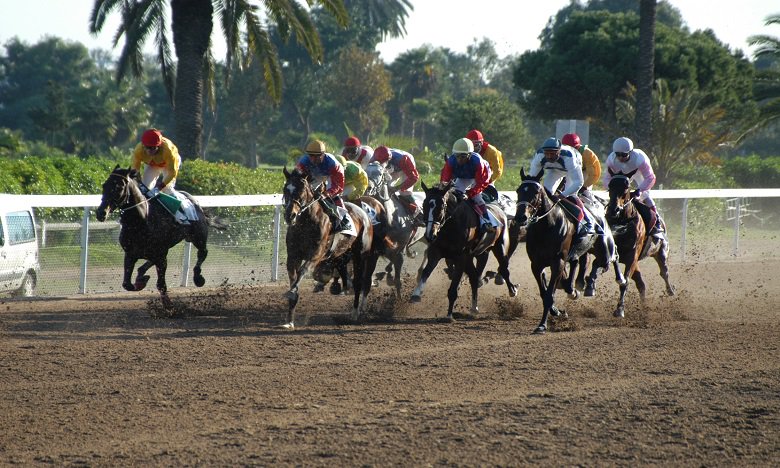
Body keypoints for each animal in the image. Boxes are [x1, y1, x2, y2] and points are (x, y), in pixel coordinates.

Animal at [96, 166, 222, 308]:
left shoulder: (161, 256)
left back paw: (198, 278)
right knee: (148, 263)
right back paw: (141, 274)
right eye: (104, 185)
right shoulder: (130, 254)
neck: (142, 220)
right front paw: (141, 282)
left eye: (119, 187)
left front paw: (168, 306)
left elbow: (161, 284)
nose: (101, 213)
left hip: (198, 237)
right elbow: (126, 284)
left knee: (203, 252)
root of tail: (194, 202)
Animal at [284, 166, 374, 328]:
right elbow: (293, 278)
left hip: (360, 254)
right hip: (340, 255)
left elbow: (303, 271)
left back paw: (355, 313)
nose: (290, 215)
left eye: (301, 191)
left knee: (359, 282)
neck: (305, 224)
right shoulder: (293, 256)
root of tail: (364, 214)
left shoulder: (316, 254)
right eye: (285, 189)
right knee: (344, 274)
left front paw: (292, 292)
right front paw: (289, 320)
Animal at [408, 181, 516, 320]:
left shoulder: (460, 257)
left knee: (503, 268)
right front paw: (416, 295)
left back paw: (512, 290)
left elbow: (454, 286)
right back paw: (474, 307)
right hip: (472, 256)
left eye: (441, 207)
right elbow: (425, 273)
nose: (429, 235)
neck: (450, 226)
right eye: (424, 205)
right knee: (474, 277)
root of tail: (500, 210)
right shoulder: (436, 252)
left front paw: (449, 315)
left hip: (499, 246)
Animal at [516, 168, 624, 332]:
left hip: (604, 248)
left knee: (609, 259)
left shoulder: (558, 262)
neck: (546, 227)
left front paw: (542, 325)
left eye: (535, 192)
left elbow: (549, 295)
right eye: (518, 191)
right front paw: (557, 311)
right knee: (578, 263)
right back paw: (575, 287)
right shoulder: (536, 264)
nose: (520, 217)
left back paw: (603, 282)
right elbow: (544, 291)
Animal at [608, 169, 672, 318]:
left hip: (661, 252)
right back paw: (644, 307)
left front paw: (620, 309)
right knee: (641, 283)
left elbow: (625, 281)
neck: (623, 221)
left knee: (664, 272)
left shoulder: (633, 255)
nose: (613, 210)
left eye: (626, 188)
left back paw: (671, 290)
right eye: (609, 187)